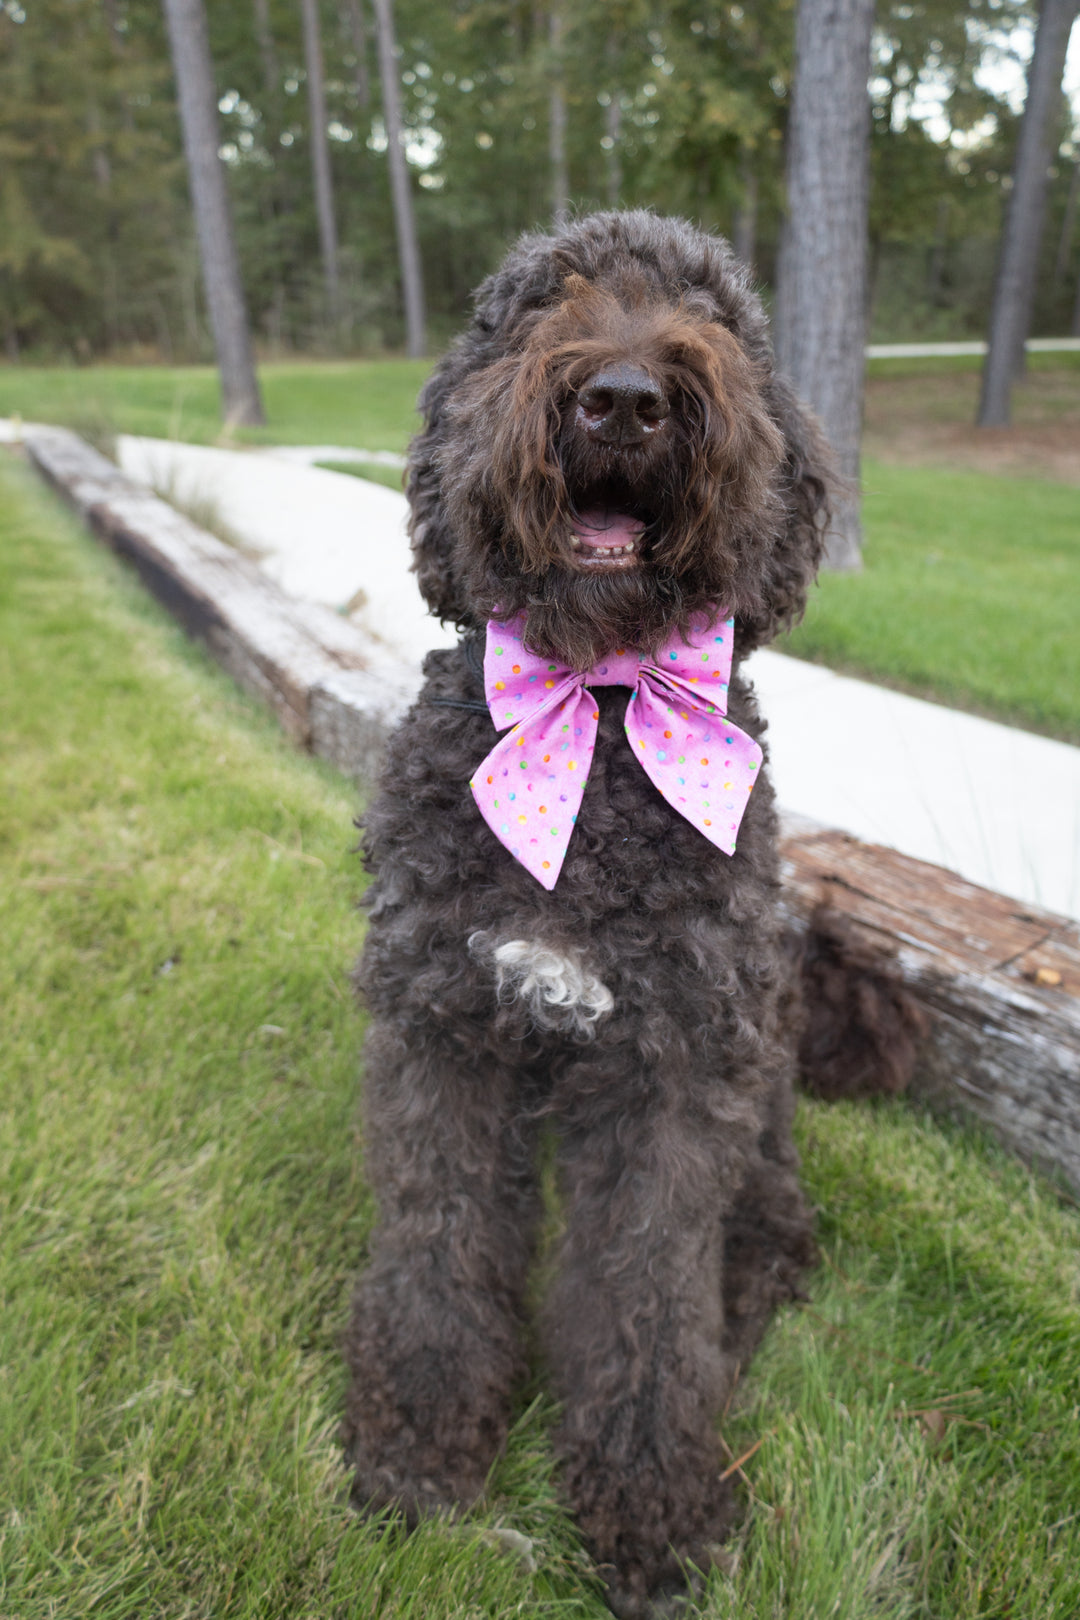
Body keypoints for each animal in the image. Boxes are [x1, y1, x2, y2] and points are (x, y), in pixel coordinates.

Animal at [341, 215, 835, 1620]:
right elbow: (438, 1257)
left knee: (761, 1251)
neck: (603, 713)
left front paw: (651, 1523)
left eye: (714, 314)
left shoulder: (675, 1073)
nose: (622, 396)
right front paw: (416, 1464)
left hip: (762, 1121)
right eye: (538, 305)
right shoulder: (443, 1032)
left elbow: (645, 1311)